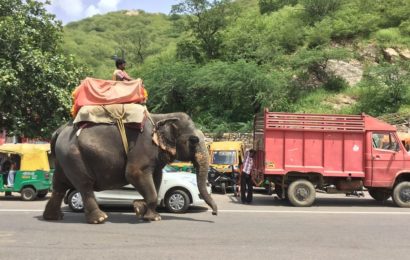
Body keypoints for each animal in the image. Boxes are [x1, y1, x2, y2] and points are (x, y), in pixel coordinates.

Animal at [42, 111, 218, 223]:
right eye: (194, 140)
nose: (215, 213)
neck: (163, 116)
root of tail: (58, 131)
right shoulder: (143, 146)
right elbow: (133, 173)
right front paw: (152, 217)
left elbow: (157, 178)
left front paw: (140, 209)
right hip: (74, 156)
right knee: (84, 185)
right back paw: (100, 219)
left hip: (63, 159)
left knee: (59, 184)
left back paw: (53, 218)